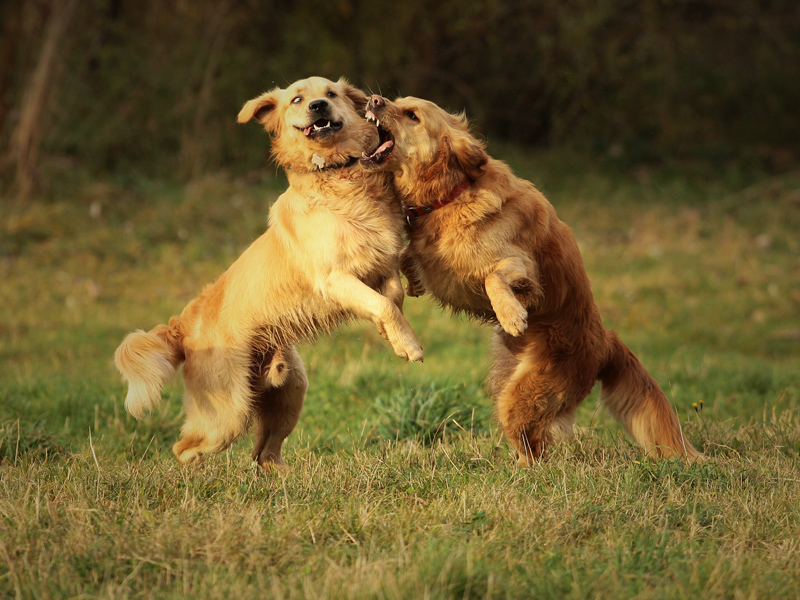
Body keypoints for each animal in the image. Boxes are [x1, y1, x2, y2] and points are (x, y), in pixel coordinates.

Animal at [116, 77, 424, 468]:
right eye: (297, 99)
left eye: (331, 93)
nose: (319, 106)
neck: (337, 174)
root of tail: (183, 325)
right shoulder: (332, 277)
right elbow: (382, 304)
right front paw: (410, 346)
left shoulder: (382, 263)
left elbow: (392, 299)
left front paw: (393, 336)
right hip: (227, 415)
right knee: (184, 449)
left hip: (290, 392)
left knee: (264, 452)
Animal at [360, 95, 700, 464]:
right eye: (394, 101)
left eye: (413, 115)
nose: (374, 100)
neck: (451, 194)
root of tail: (605, 341)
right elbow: (407, 256)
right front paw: (416, 283)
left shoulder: (522, 265)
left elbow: (493, 278)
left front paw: (511, 315)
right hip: (505, 384)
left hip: (526, 395)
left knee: (535, 447)